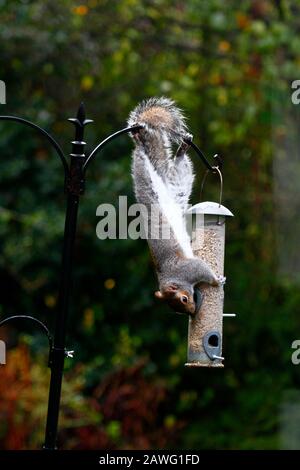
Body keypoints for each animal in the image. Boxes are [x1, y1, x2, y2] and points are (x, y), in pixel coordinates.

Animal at [127, 96, 224, 316]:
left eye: (184, 298)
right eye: (180, 307)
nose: (193, 311)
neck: (174, 277)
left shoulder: (189, 269)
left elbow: (203, 269)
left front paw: (216, 280)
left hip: (146, 181)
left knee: (141, 161)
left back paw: (140, 142)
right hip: (178, 184)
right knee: (179, 167)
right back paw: (180, 153)